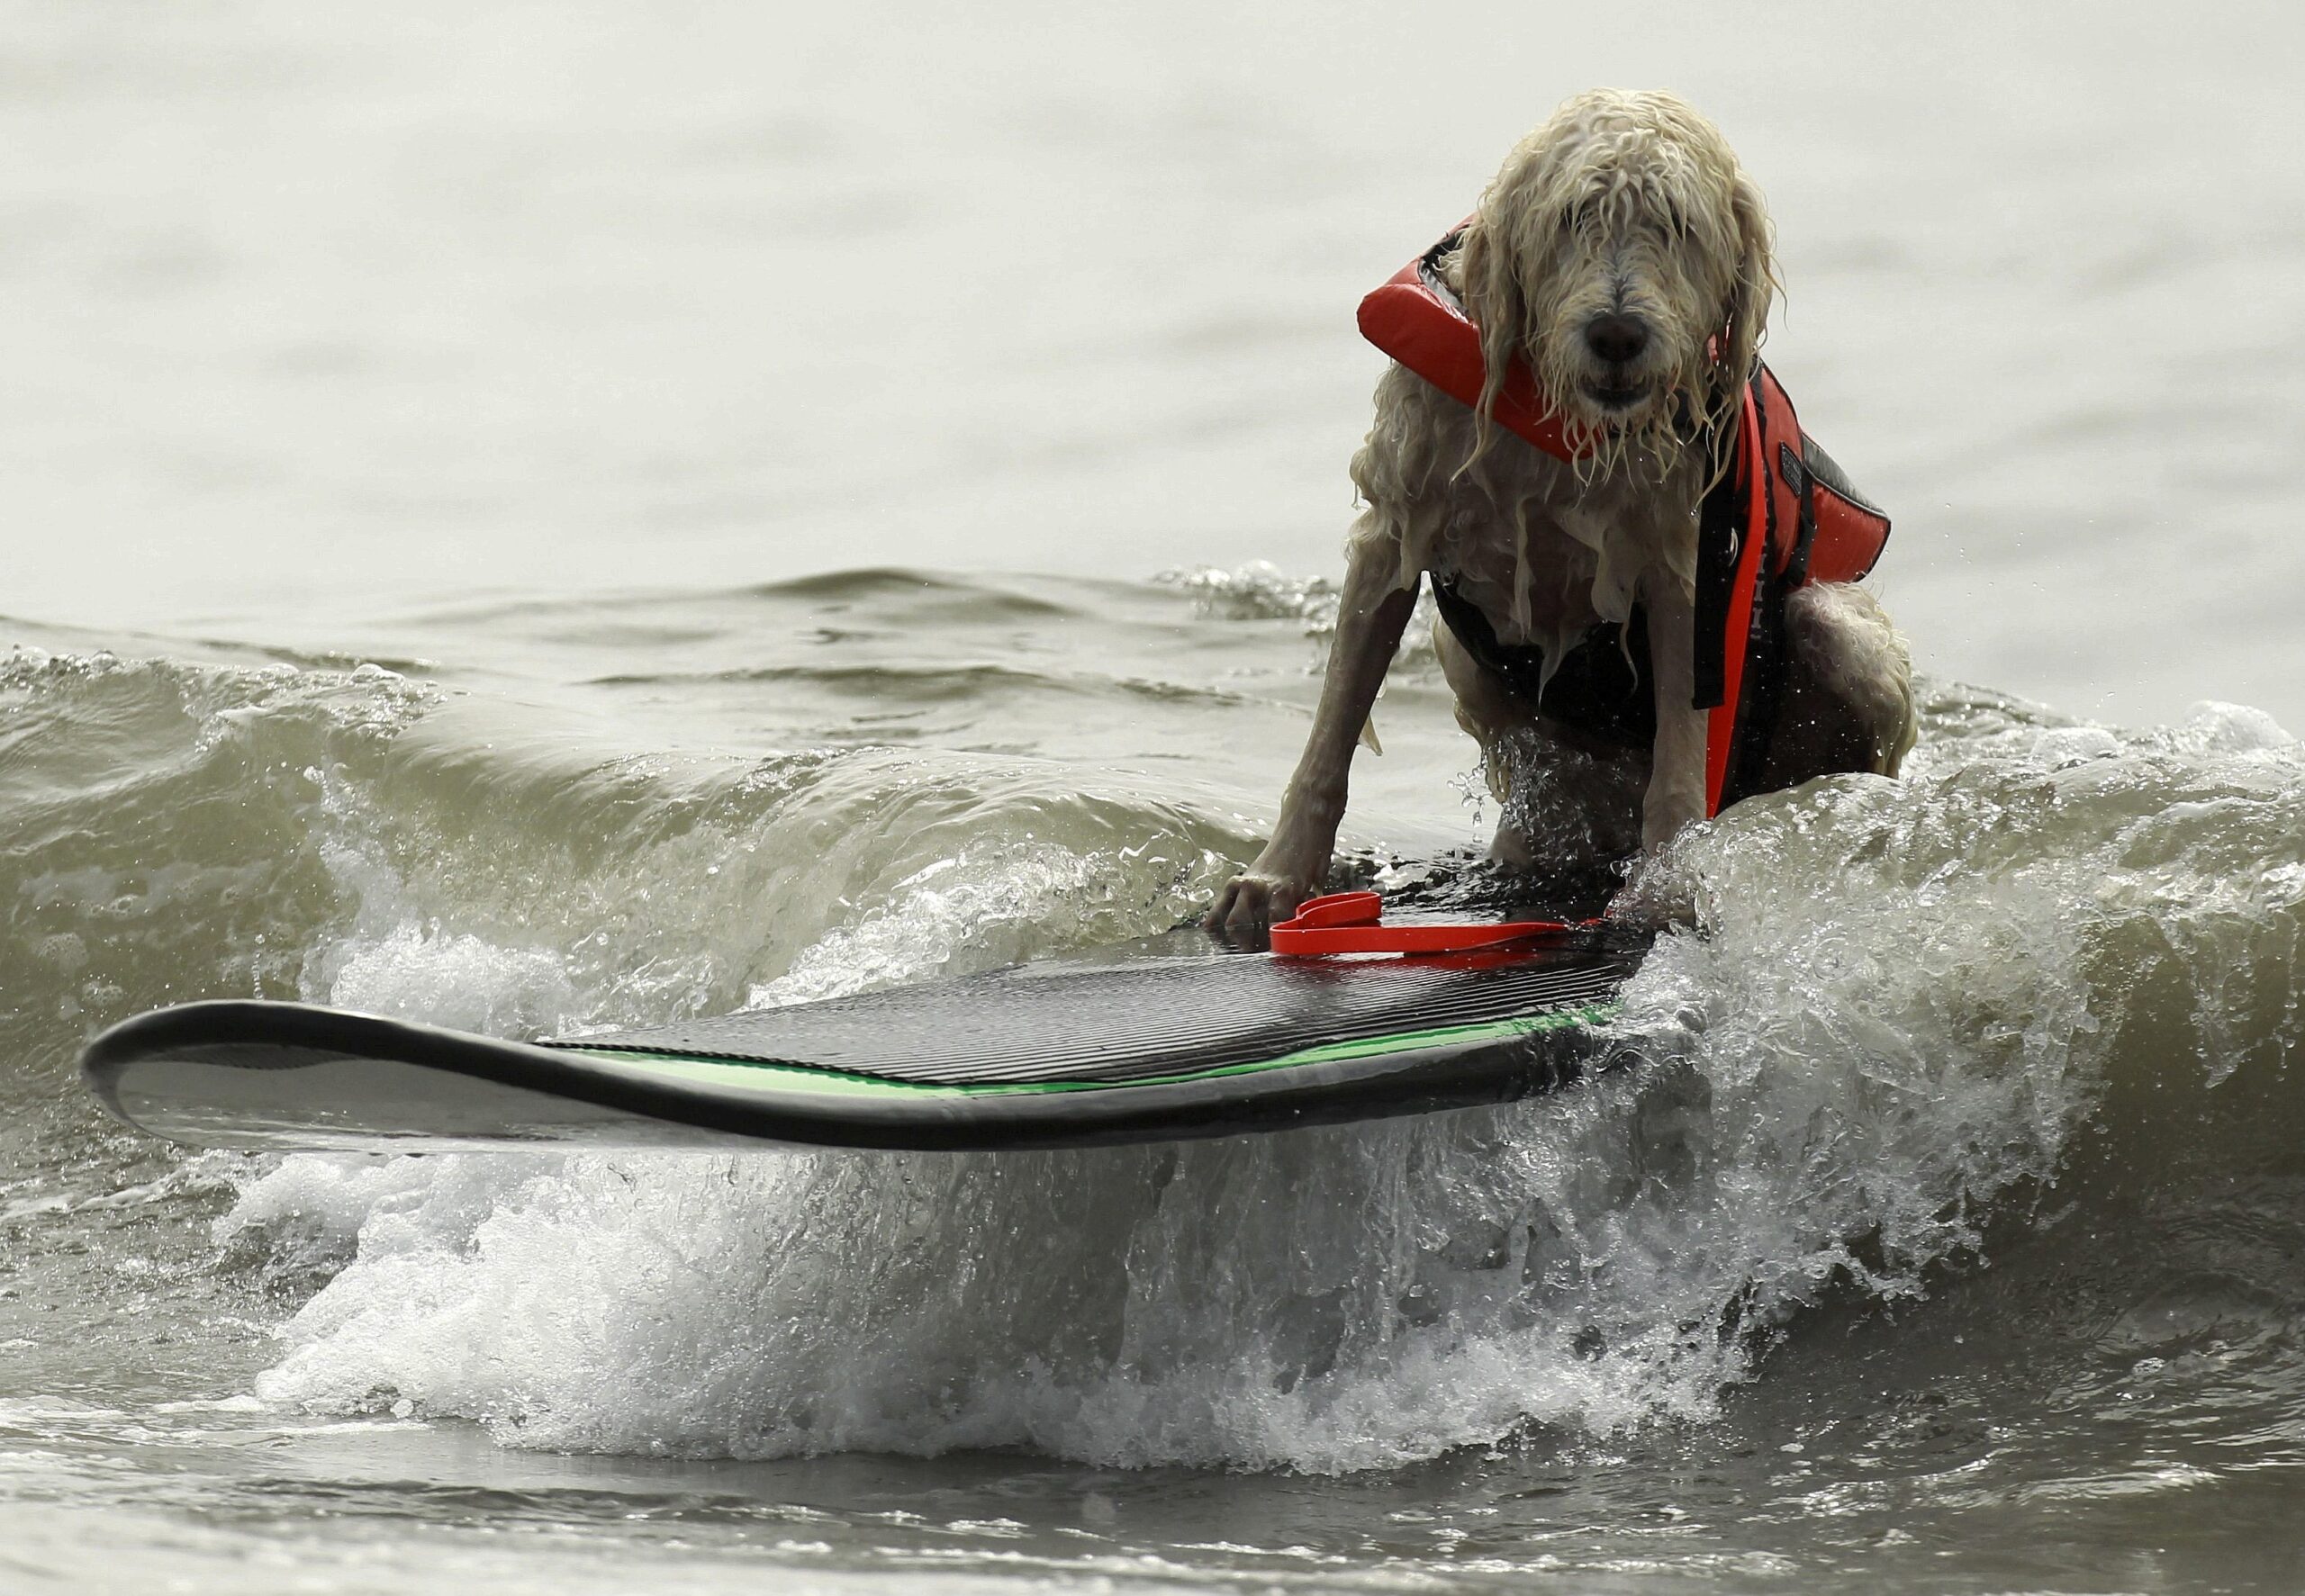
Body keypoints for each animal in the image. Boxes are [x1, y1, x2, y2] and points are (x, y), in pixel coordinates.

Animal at [1207, 86, 1908, 934]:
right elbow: (1333, 729)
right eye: (1573, 215)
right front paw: (1277, 876)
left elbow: (1682, 752)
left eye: (1678, 223)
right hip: (1463, 660)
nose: (1617, 333)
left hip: (1841, 642)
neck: (1558, 420)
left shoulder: (1683, 565)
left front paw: (1665, 884)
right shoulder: (1395, 525)